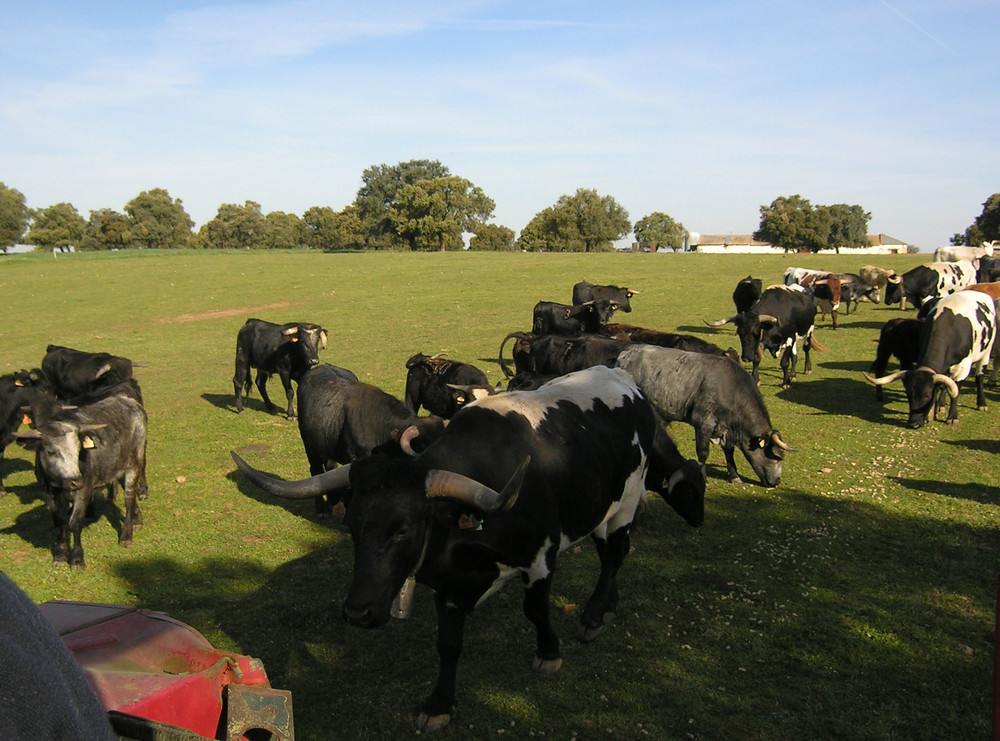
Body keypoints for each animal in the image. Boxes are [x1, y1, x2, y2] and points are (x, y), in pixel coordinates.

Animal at [11, 394, 146, 568]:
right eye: (51, 451)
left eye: (78, 449)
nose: (75, 481)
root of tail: (126, 399)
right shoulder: (50, 494)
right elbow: (59, 522)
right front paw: (60, 554)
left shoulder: (84, 490)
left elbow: (75, 522)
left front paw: (77, 559)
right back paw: (137, 520)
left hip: (134, 464)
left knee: (129, 499)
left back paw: (126, 536)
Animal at [231, 364, 708, 728]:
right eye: (351, 526)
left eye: (403, 530)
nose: (357, 612)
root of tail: (624, 379)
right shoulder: (448, 586)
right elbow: (448, 645)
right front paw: (439, 705)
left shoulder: (540, 559)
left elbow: (536, 610)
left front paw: (548, 653)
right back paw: (607, 608)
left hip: (624, 501)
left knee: (613, 555)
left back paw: (593, 615)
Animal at [612, 346, 792, 486]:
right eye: (777, 457)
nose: (777, 481)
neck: (731, 389)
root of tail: (625, 354)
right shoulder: (704, 423)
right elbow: (703, 452)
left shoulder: (725, 429)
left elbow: (729, 451)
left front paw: (734, 476)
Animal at [864, 290, 996, 428]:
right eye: (909, 394)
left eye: (927, 395)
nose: (914, 423)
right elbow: (942, 386)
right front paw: (933, 413)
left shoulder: (963, 367)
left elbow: (954, 390)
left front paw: (952, 417)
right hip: (886, 352)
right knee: (880, 369)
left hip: (986, 354)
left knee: (979, 377)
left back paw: (981, 403)